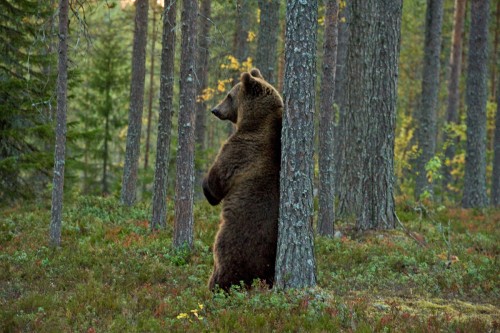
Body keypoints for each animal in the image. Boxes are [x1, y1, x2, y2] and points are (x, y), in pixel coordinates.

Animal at [202, 68, 282, 290]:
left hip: (232, 240)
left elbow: (216, 183)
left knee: (223, 260)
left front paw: (206, 186)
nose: (215, 110)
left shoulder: (239, 151)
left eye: (229, 96)